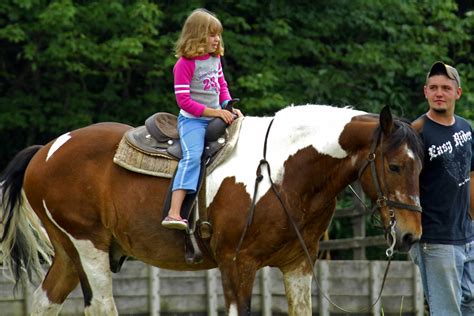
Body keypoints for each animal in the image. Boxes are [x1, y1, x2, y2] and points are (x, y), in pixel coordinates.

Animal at [0, 103, 422, 314]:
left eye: (423, 167)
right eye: (395, 166)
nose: (409, 235)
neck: (285, 173)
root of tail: (46, 150)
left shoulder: (298, 264)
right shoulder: (237, 264)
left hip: (69, 253)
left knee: (45, 302)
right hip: (89, 247)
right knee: (101, 305)